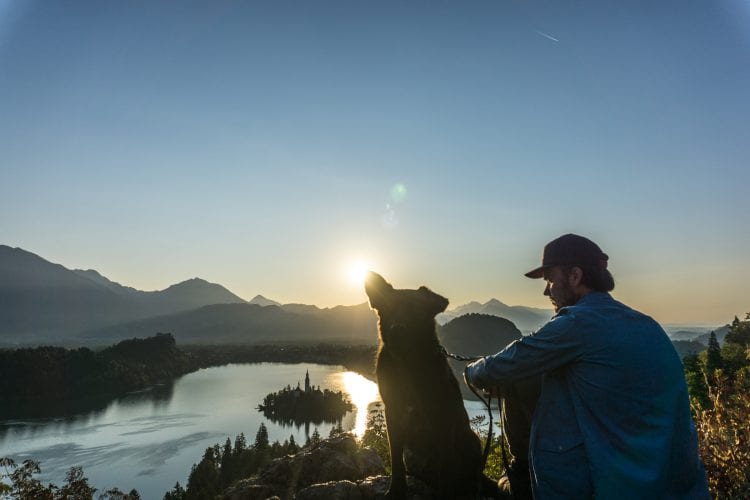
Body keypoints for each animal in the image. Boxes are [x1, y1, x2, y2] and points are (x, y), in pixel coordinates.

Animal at [364, 274, 500, 500]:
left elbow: (445, 469)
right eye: (389, 308)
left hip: (471, 442)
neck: (408, 363)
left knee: (470, 479)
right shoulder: (393, 413)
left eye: (416, 311)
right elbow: (396, 459)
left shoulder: (442, 419)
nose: (398, 329)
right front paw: (396, 490)